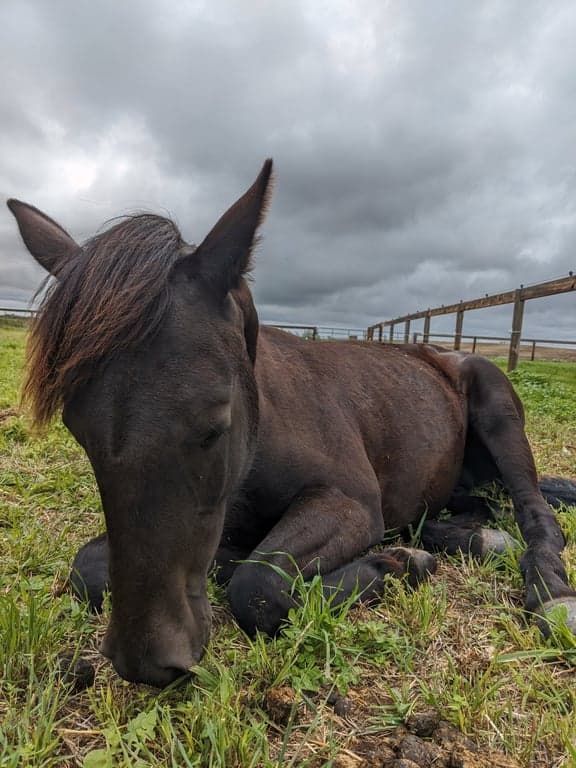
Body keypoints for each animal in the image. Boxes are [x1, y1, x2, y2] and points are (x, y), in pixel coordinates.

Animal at [7, 160, 576, 688]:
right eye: (76, 429)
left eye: (215, 424)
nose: (146, 661)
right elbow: (90, 567)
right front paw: (397, 558)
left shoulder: (349, 502)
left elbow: (256, 585)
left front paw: (395, 566)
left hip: (500, 416)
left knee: (535, 512)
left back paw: (548, 594)